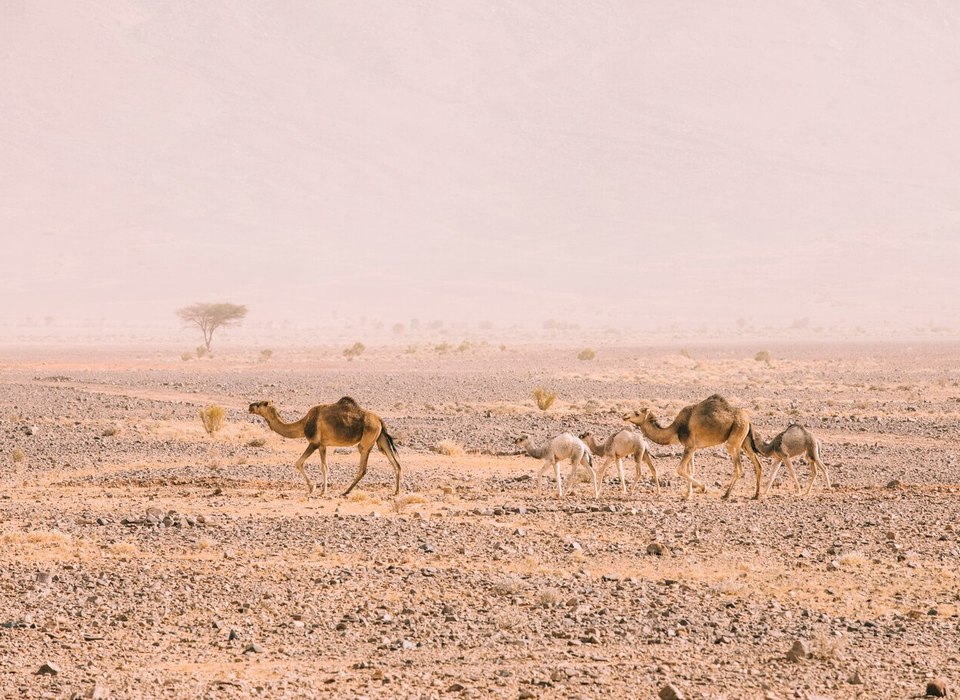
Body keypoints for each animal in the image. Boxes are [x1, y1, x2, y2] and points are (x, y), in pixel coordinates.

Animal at [248, 400, 402, 498]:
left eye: (261, 404)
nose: (250, 406)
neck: (304, 423)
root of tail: (379, 419)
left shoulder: (314, 443)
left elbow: (299, 462)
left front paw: (312, 487)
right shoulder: (323, 445)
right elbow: (324, 467)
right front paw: (323, 491)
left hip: (367, 439)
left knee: (363, 466)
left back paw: (346, 491)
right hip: (381, 439)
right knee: (395, 463)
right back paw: (396, 492)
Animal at [624, 394, 764, 498]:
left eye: (637, 413)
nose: (624, 415)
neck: (676, 429)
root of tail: (748, 420)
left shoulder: (690, 446)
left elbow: (680, 469)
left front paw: (703, 488)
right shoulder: (693, 447)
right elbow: (691, 470)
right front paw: (688, 494)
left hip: (735, 438)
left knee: (738, 468)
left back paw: (726, 495)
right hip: (744, 441)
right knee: (758, 465)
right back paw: (756, 495)